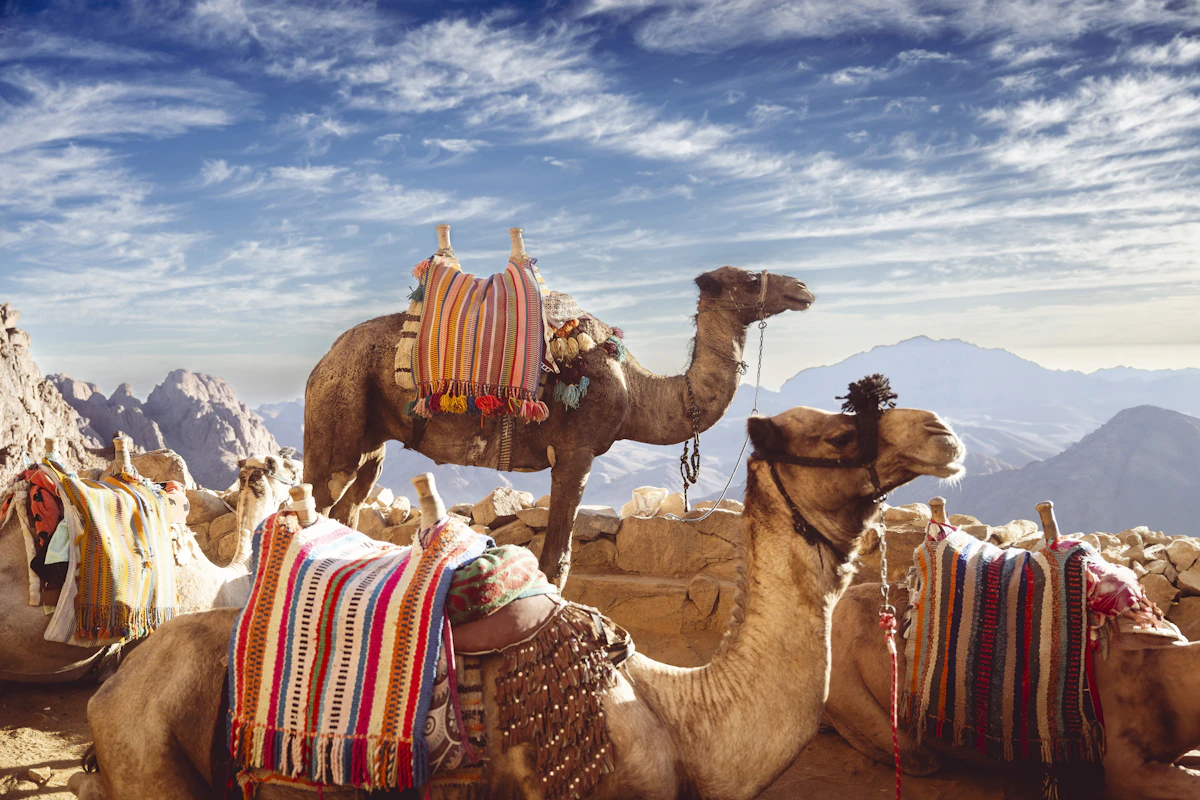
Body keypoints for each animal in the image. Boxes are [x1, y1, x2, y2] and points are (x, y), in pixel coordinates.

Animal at [303, 225, 815, 588]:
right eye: (750, 279)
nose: (803, 288)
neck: (635, 390)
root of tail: (320, 364)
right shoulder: (577, 452)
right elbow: (556, 561)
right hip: (336, 415)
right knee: (314, 503)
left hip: (370, 440)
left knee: (349, 508)